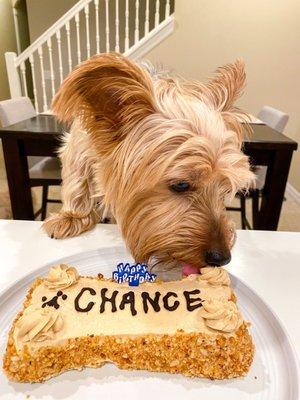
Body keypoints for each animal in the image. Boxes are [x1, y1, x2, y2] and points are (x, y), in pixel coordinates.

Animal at [42, 52, 253, 272]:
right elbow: (77, 176)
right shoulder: (78, 144)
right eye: (181, 185)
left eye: (226, 190)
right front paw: (70, 217)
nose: (221, 258)